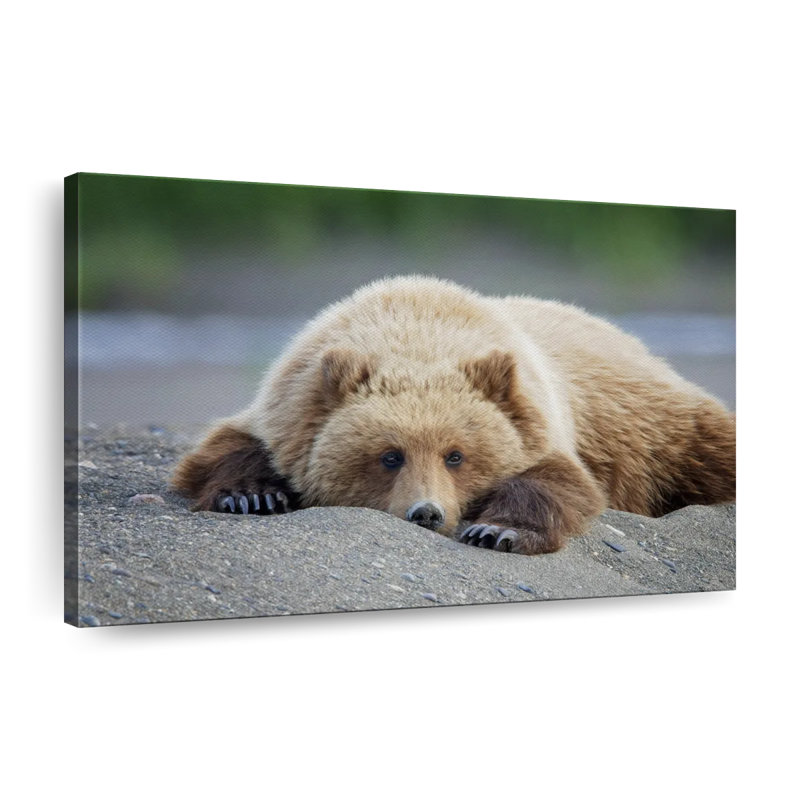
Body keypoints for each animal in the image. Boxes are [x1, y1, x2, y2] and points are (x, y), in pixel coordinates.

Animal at [170, 275, 735, 555]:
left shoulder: (538, 416)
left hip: (656, 424)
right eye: (390, 455)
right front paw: (252, 495)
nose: (427, 512)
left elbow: (557, 481)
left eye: (456, 455)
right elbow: (229, 447)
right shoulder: (289, 405)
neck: (418, 328)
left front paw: (497, 531)